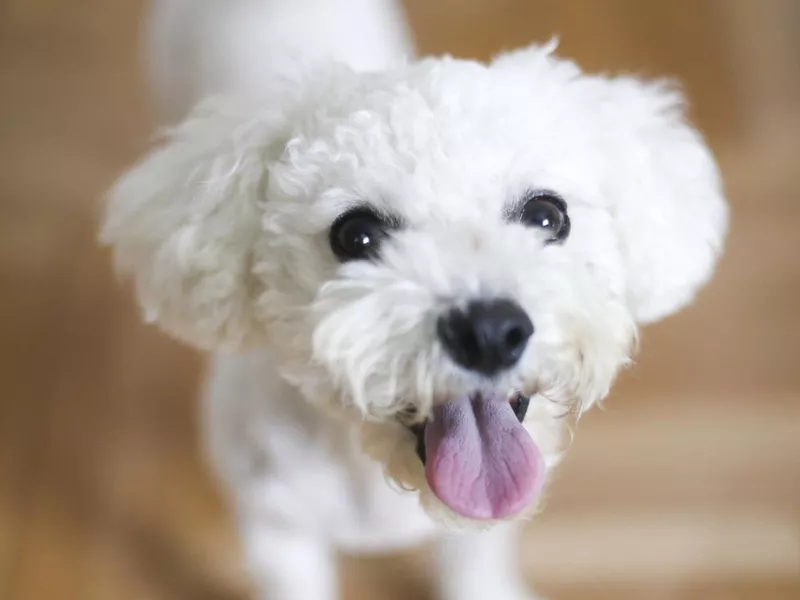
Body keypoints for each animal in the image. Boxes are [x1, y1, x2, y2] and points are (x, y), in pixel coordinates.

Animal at [101, 1, 732, 600]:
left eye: (548, 215)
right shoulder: (274, 526)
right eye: (356, 235)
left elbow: (476, 562)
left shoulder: (482, 522)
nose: (488, 332)